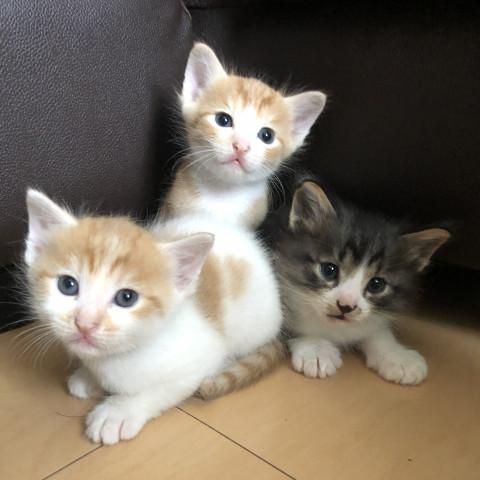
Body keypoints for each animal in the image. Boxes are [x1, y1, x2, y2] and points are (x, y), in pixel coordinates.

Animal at [24, 189, 283, 444]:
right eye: (67, 285)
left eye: (126, 298)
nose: (85, 323)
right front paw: (88, 377)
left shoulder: (199, 359)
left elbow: (160, 390)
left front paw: (118, 411)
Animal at [272, 180, 450, 384]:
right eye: (329, 270)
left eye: (376, 284)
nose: (346, 305)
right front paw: (316, 350)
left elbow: (376, 329)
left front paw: (397, 356)